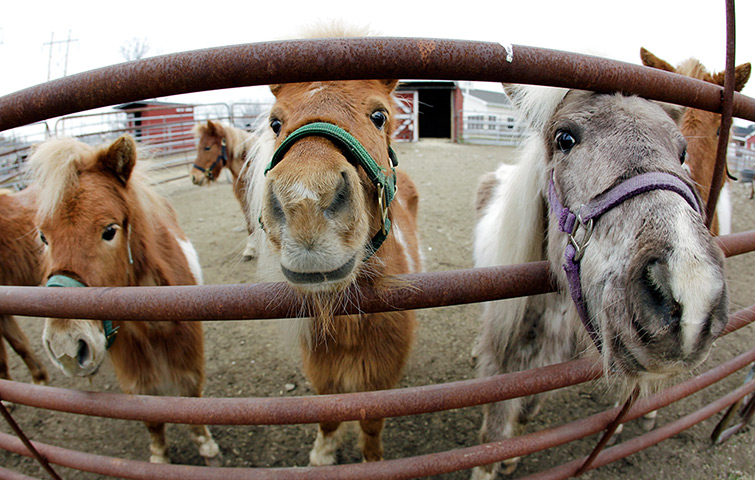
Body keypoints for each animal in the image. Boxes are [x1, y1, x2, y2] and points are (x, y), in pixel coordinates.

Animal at [29, 135, 221, 465]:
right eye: (43, 237)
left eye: (109, 231)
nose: (66, 345)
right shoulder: (133, 368)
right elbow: (149, 415)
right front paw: (159, 457)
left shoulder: (188, 354)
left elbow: (190, 398)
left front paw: (207, 447)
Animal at [244, 27, 421, 465]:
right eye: (275, 122)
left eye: (379, 115)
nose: (305, 202)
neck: (349, 325)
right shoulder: (322, 370)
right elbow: (327, 411)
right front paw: (323, 454)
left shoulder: (381, 377)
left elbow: (371, 425)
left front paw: (372, 460)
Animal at [470, 85, 728, 479]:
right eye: (564, 138)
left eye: (682, 151)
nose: (692, 294)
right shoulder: (503, 365)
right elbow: (493, 439)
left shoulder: (550, 367)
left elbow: (527, 410)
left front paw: (512, 457)